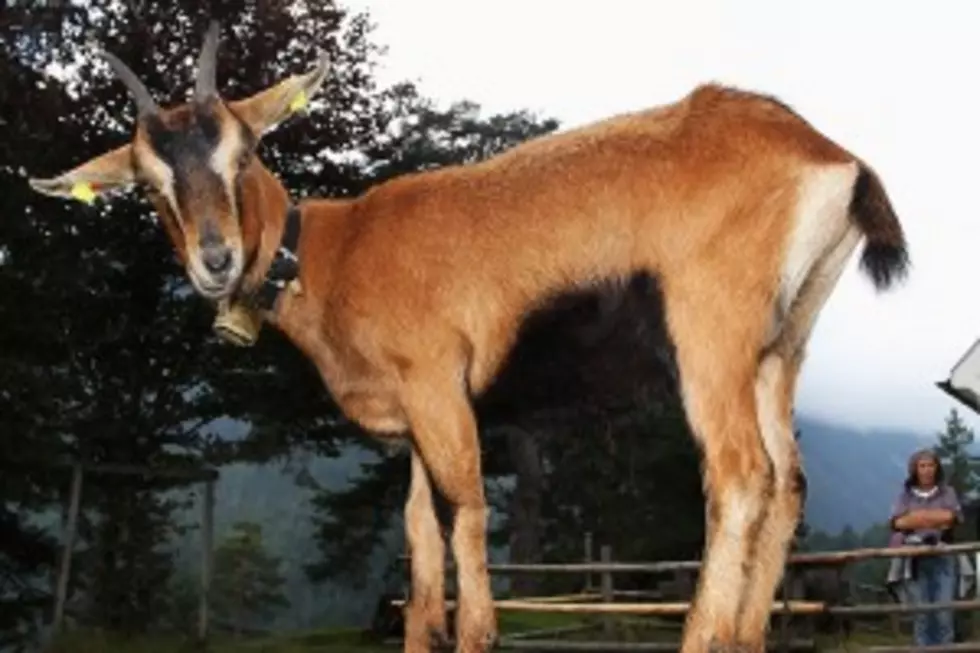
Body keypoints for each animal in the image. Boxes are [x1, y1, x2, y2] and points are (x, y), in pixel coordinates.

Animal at [26, 20, 912, 652]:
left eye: (243, 152)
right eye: (150, 183)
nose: (215, 260)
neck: (331, 249)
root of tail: (832, 159)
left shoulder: (439, 387)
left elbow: (467, 523)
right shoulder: (415, 425)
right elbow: (422, 563)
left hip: (709, 340)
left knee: (740, 475)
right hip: (778, 350)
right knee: (789, 481)